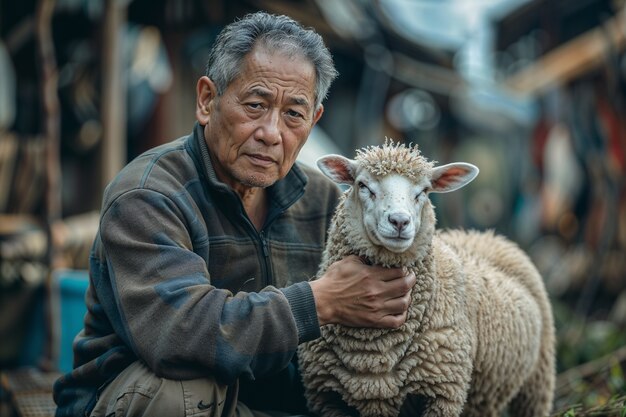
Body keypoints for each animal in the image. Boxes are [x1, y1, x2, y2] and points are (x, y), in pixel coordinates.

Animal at [294, 141, 552, 416]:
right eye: (363, 185)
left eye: (424, 191)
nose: (399, 221)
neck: (373, 353)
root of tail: (483, 235)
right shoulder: (327, 397)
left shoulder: (443, 393)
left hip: (538, 379)